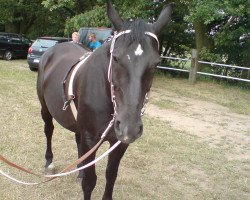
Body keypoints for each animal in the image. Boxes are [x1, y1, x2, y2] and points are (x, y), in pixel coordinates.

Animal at [37, 1, 172, 200]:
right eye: (115, 57)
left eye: (156, 63)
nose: (129, 128)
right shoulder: (90, 139)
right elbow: (90, 182)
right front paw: (84, 177)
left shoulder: (119, 142)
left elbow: (111, 174)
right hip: (45, 109)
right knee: (48, 130)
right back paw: (49, 163)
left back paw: (79, 170)